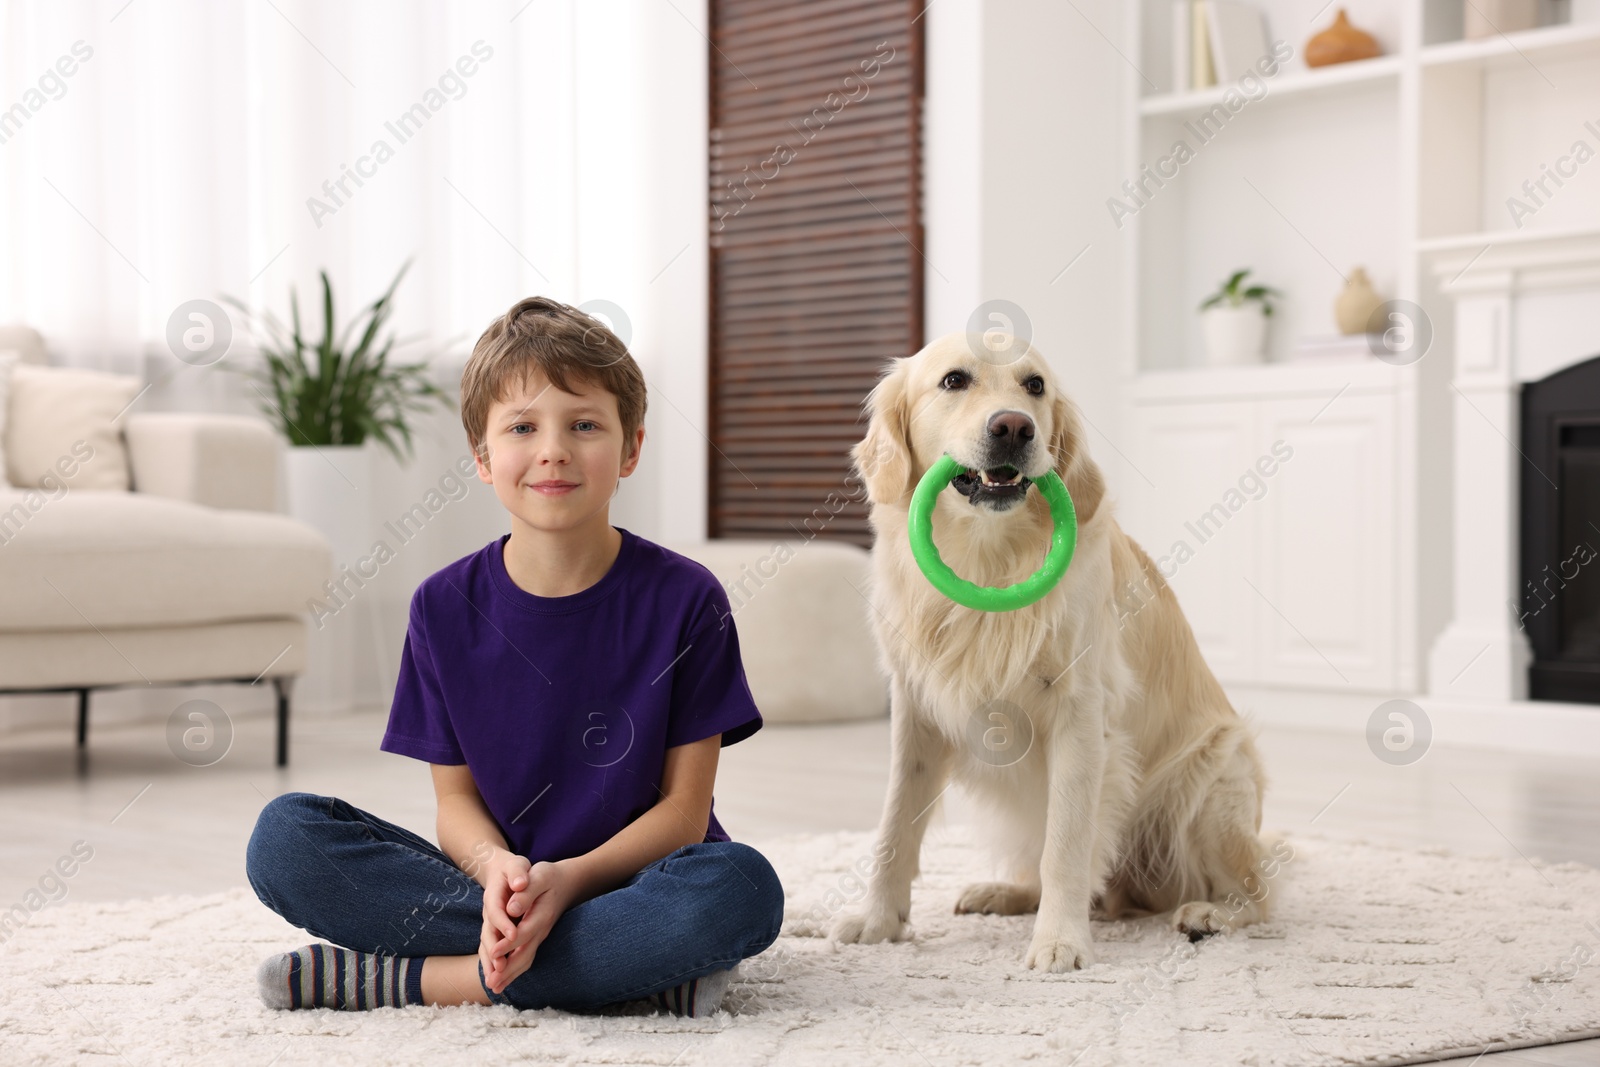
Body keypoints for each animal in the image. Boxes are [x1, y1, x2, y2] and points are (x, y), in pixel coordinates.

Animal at [832, 334, 1267, 979]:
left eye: (1035, 386)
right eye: (954, 380)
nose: (1014, 426)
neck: (989, 559)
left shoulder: (1080, 716)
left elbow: (1066, 845)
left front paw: (1060, 941)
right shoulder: (914, 713)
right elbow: (893, 828)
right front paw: (878, 922)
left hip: (1213, 778)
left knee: (1258, 891)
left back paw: (1208, 914)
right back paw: (1001, 892)